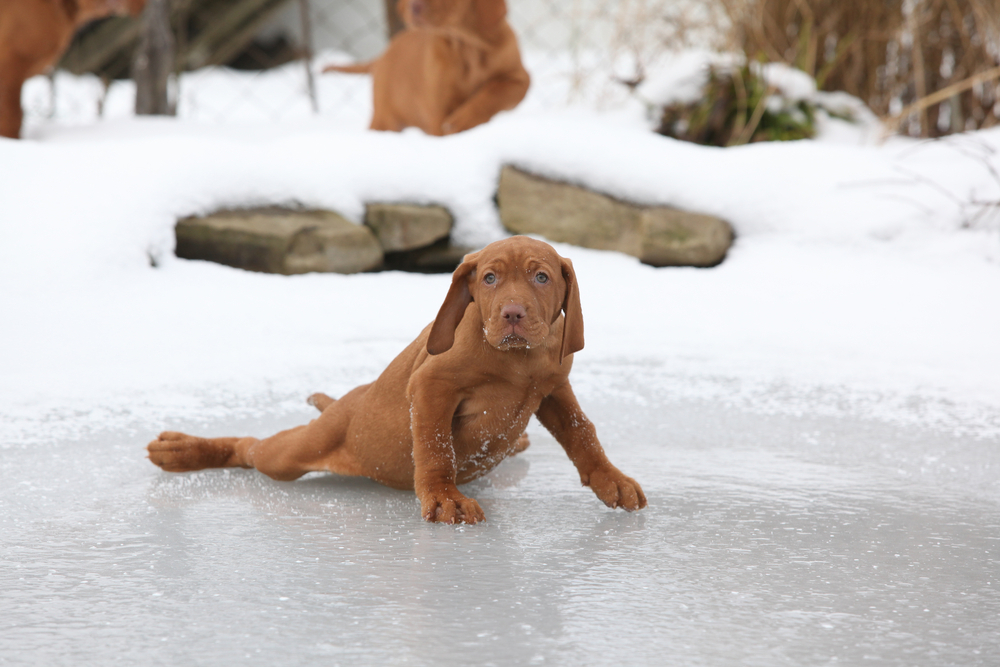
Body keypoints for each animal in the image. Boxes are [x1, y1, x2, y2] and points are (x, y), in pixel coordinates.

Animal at [148, 237, 648, 524]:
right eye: (489, 278)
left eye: (541, 277)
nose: (512, 314)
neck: (516, 360)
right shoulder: (430, 388)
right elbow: (434, 445)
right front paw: (444, 497)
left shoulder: (553, 390)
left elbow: (583, 433)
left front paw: (611, 479)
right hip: (293, 454)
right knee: (253, 448)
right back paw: (183, 450)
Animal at [326, 0, 532, 136]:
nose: (414, 7)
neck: (466, 46)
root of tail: (383, 55)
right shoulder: (438, 112)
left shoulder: (520, 78)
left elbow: (494, 92)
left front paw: (463, 120)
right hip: (385, 118)